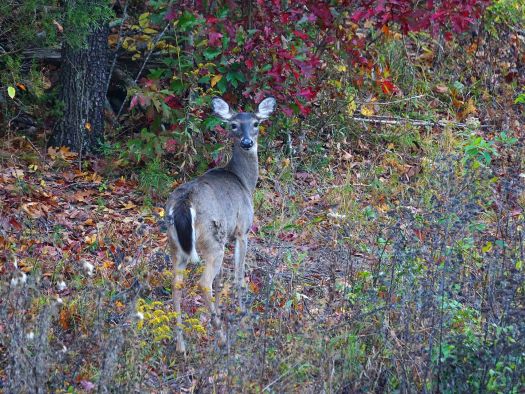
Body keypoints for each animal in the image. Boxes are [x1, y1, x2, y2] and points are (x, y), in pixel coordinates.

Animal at [166, 96, 276, 354]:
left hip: (176, 245)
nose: (246, 142)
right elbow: (238, 276)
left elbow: (222, 280)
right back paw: (221, 337)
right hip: (212, 239)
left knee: (177, 284)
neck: (244, 181)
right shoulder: (242, 229)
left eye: (256, 123)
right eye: (234, 125)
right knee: (203, 283)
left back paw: (181, 345)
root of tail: (184, 203)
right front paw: (244, 319)